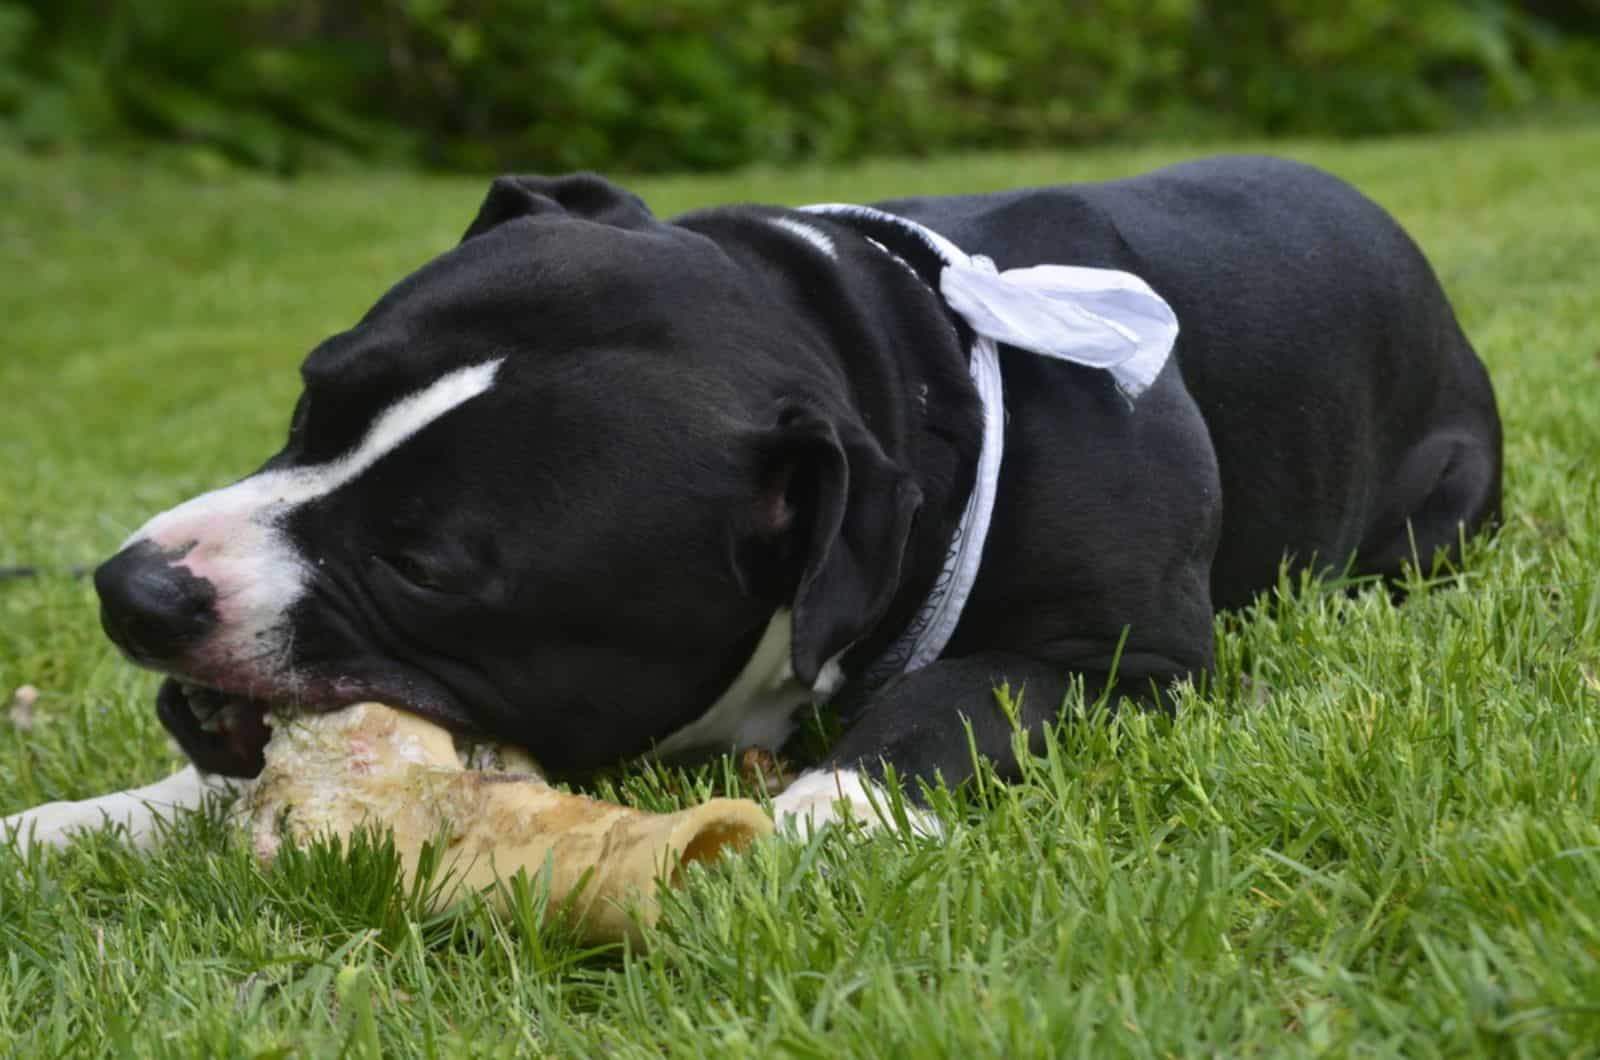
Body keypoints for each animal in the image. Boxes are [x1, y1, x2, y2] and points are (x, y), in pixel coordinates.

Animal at [9, 153, 1497, 845]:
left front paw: (827, 817)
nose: (136, 586)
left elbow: (954, 699)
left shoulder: (1119, 658)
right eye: (316, 402)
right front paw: (84, 820)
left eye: (429, 566)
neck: (898, 380)